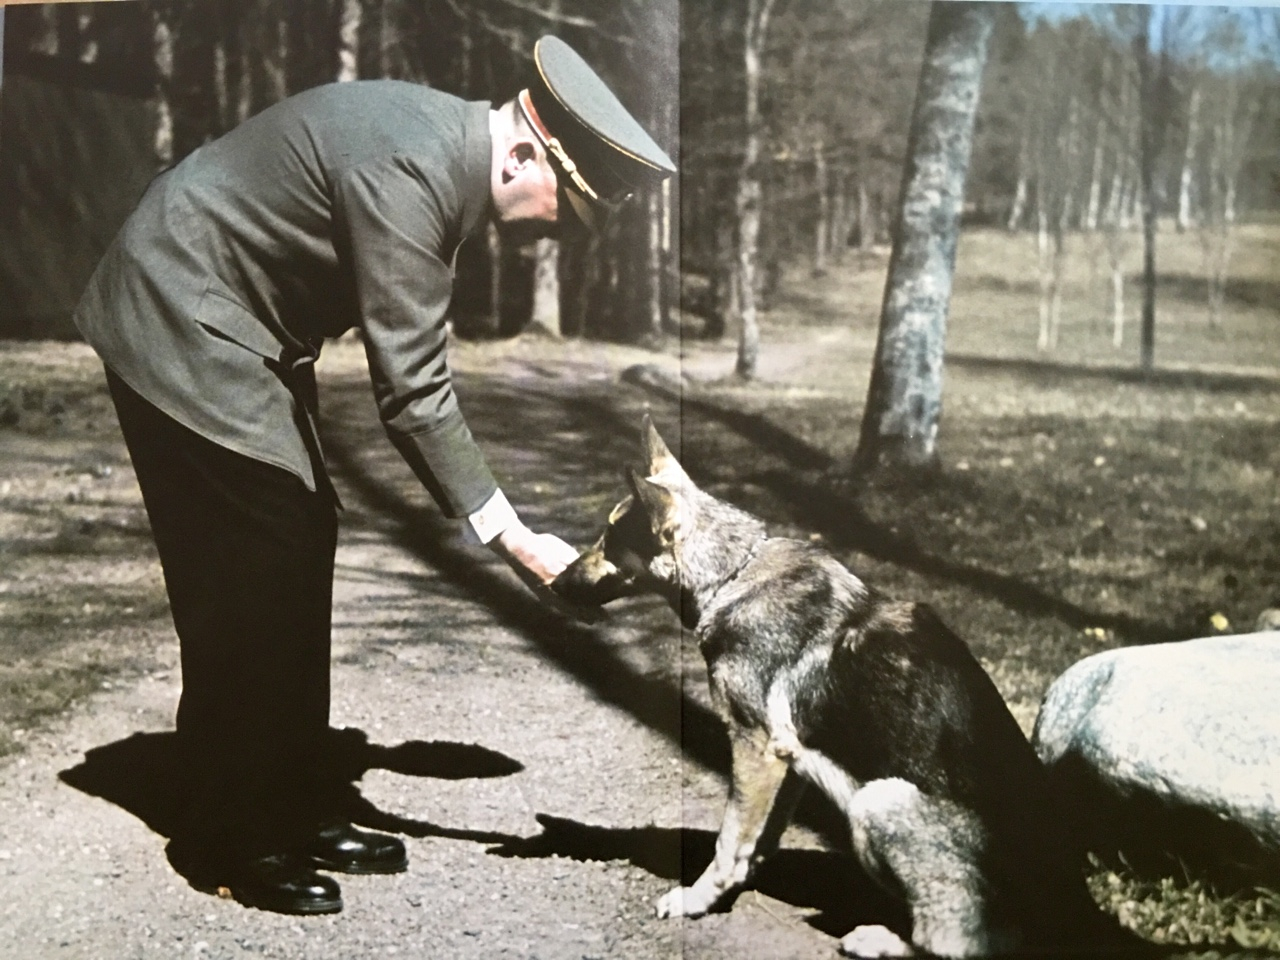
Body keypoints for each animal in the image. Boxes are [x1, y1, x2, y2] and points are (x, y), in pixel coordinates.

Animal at [550, 422, 1131, 960]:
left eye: (609, 541)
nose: (554, 584)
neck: (734, 574)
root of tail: (1081, 914)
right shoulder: (787, 758)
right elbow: (757, 837)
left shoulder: (754, 745)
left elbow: (729, 837)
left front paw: (698, 899)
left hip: (876, 801)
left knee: (956, 944)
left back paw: (881, 939)